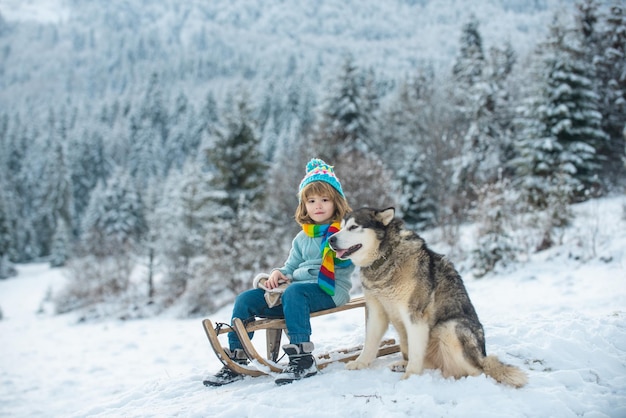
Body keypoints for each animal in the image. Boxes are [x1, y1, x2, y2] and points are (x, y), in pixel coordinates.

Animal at [326, 207, 528, 386]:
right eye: (342, 226)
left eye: (353, 227)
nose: (330, 239)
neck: (385, 256)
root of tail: (483, 357)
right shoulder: (376, 310)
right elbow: (369, 343)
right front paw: (360, 363)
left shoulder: (415, 316)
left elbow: (416, 352)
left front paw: (410, 378)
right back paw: (403, 364)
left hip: (449, 327)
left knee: (478, 371)